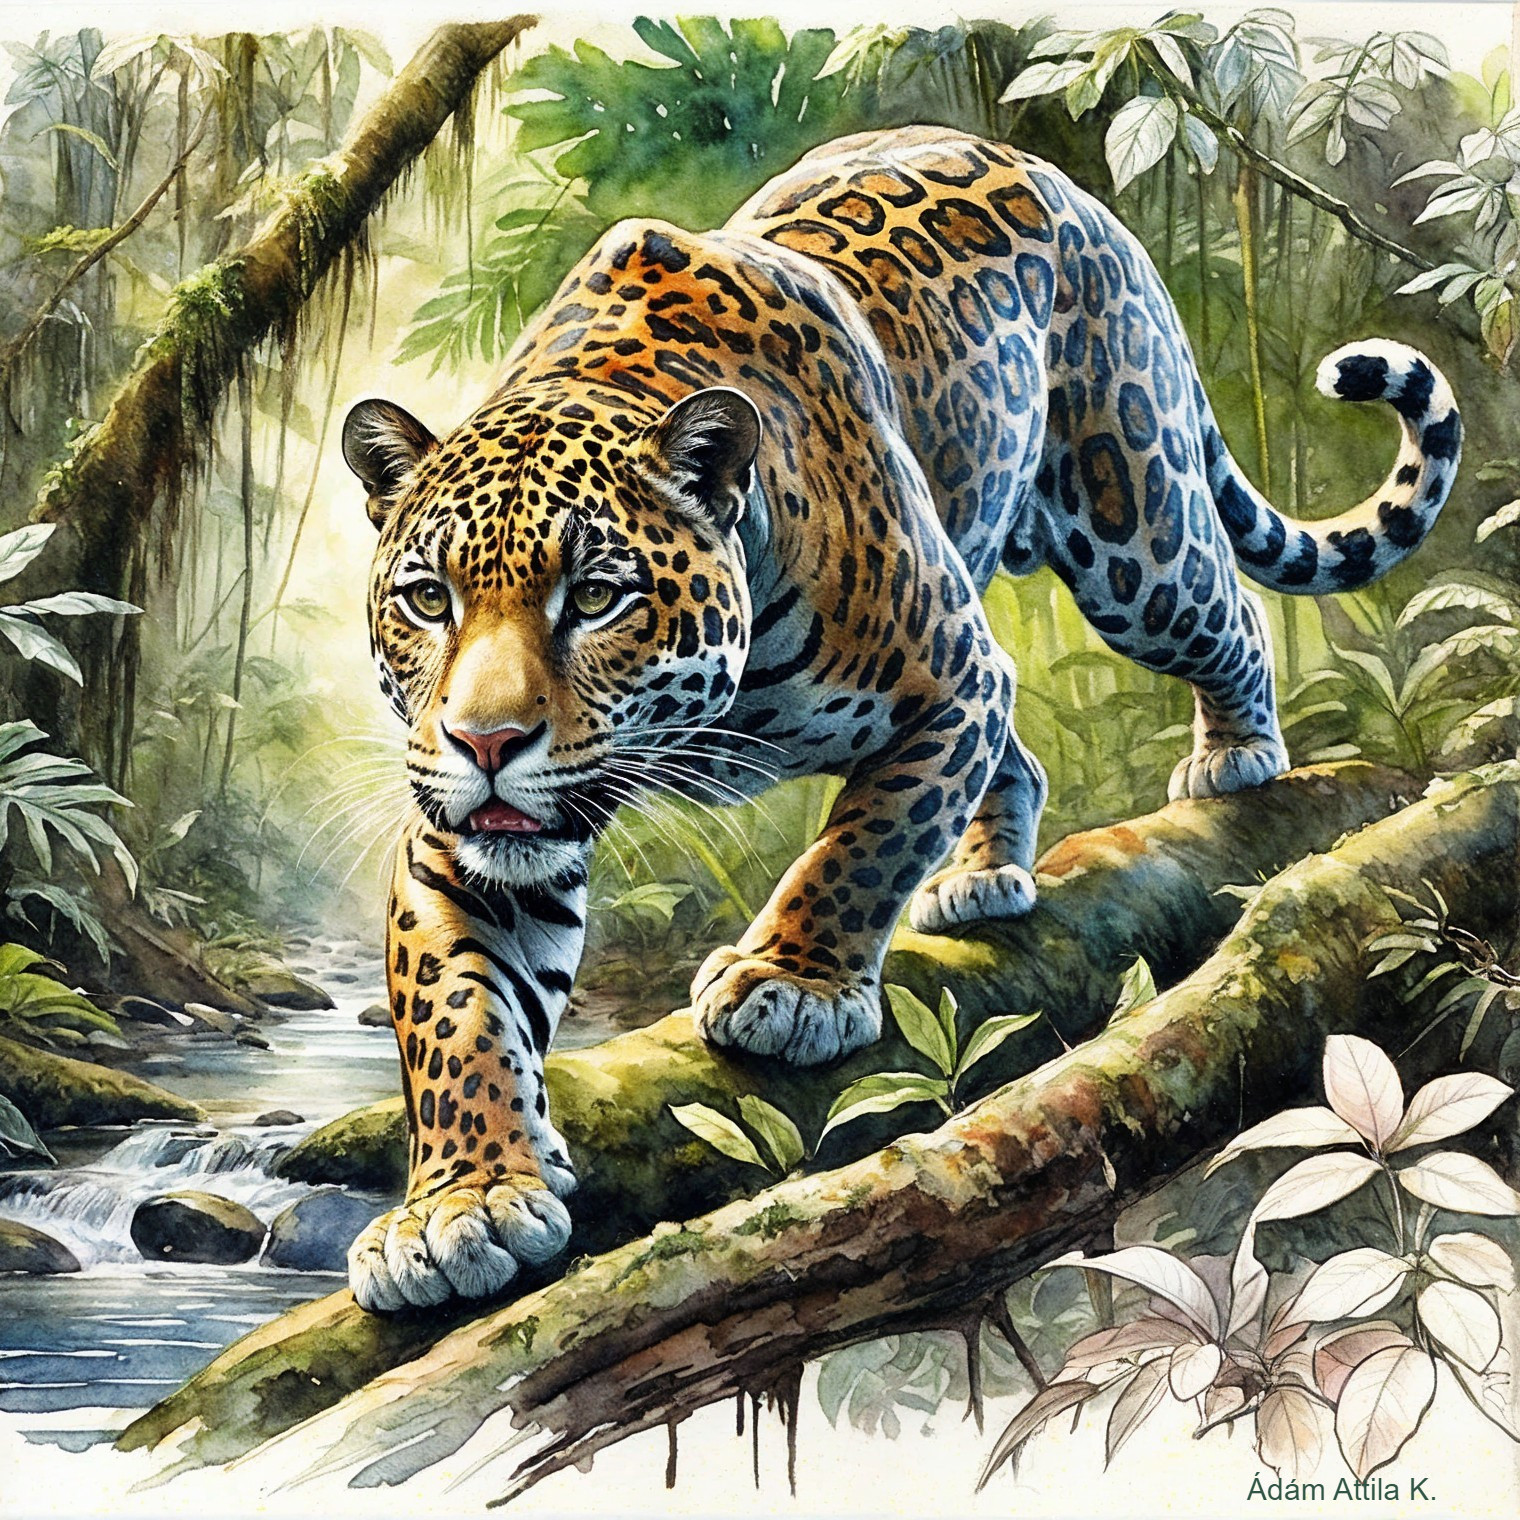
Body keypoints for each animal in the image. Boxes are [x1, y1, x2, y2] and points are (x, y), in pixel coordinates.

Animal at [339, 126, 1460, 1311]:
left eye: (595, 596)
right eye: (429, 599)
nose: (487, 743)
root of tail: (1070, 191)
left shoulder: (947, 679)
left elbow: (861, 845)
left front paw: (789, 986)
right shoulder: (459, 835)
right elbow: (454, 1009)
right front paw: (457, 1205)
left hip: (1132, 529)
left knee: (1223, 610)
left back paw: (1234, 755)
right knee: (1021, 752)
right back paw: (981, 875)